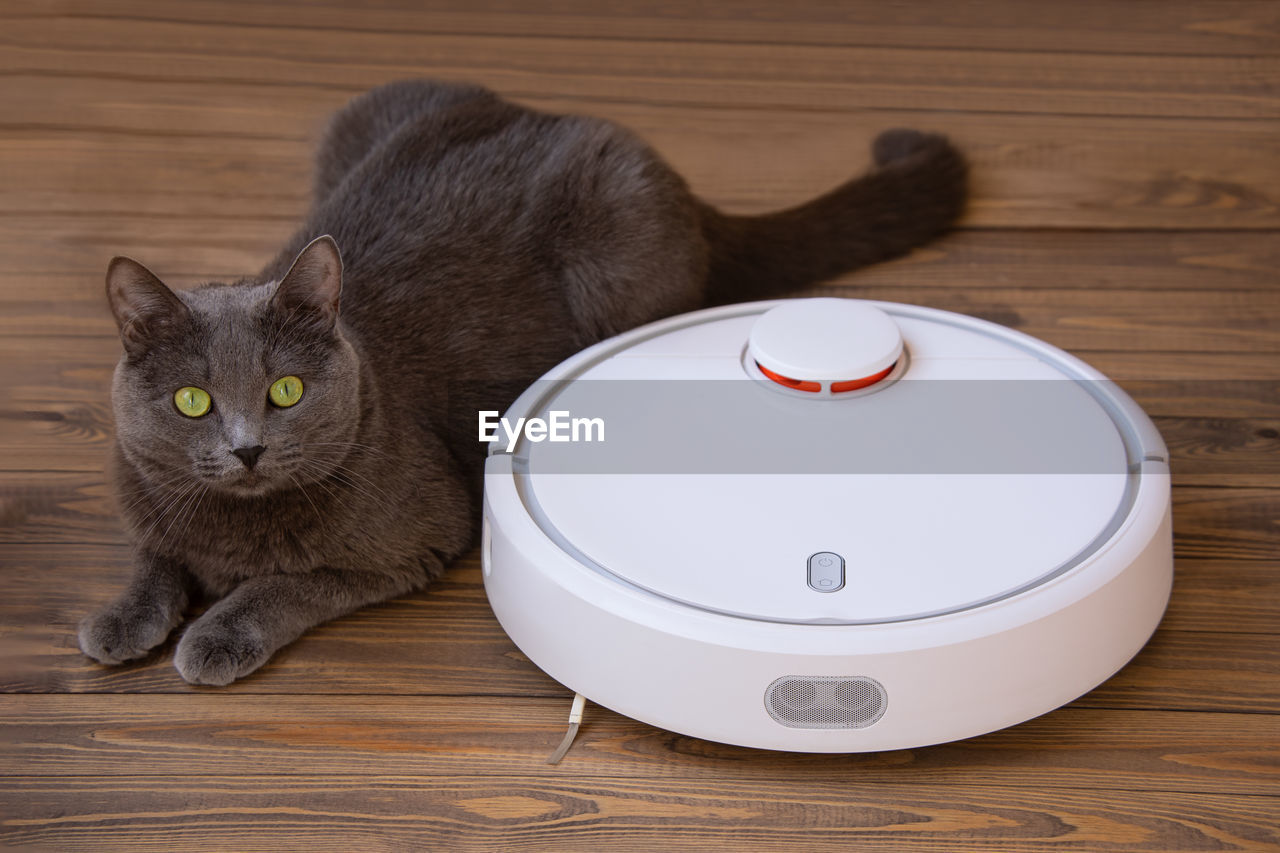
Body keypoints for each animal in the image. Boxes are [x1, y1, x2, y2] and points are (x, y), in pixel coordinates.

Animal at [77, 78, 962, 676]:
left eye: (285, 391)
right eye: (192, 400)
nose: (248, 448)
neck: (233, 524)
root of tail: (552, 114)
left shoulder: (419, 539)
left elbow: (287, 584)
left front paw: (215, 634)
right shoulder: (148, 491)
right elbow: (153, 551)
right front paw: (119, 618)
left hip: (619, 252)